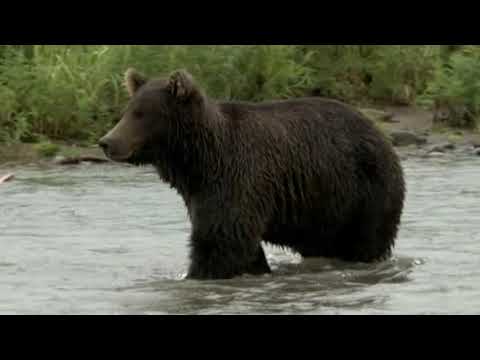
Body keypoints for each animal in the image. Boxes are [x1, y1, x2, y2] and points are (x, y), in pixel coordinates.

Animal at [98, 69, 404, 280]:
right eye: (127, 111)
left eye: (141, 114)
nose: (106, 142)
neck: (198, 162)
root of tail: (380, 132)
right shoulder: (202, 193)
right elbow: (237, 243)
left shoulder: (238, 178)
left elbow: (222, 242)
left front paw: (196, 274)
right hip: (324, 206)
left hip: (365, 190)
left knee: (366, 240)